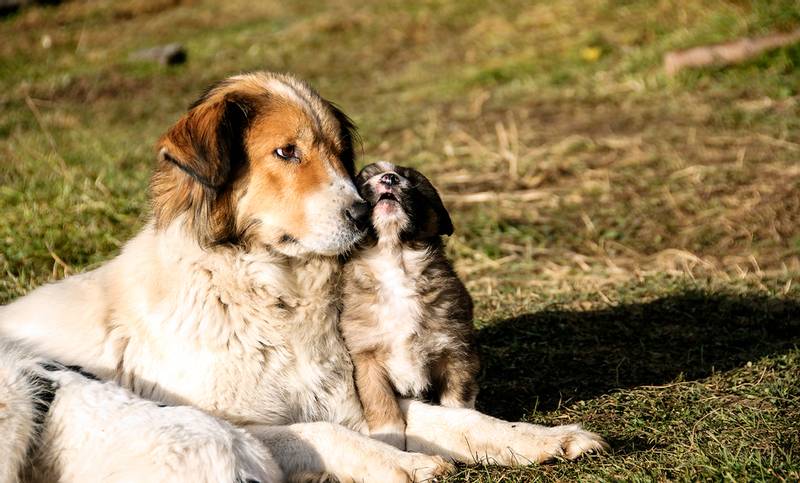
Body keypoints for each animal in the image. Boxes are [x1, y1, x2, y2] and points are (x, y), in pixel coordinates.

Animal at [340, 162, 478, 450]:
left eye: (412, 180)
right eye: (365, 179)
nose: (389, 178)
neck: (395, 260)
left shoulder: (456, 350)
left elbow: (458, 400)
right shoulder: (366, 358)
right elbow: (381, 403)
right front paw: (390, 441)